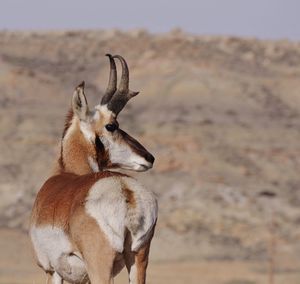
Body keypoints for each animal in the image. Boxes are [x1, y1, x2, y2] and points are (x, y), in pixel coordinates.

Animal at [29, 54, 158, 282]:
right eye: (112, 125)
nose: (149, 158)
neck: (67, 173)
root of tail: (125, 188)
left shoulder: (52, 271)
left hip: (100, 267)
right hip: (138, 258)